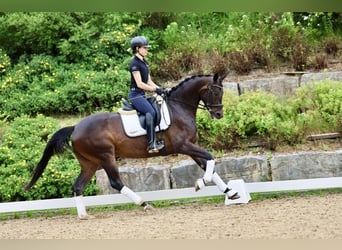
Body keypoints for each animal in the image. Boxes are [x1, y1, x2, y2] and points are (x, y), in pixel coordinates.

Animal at [24, 72, 239, 219]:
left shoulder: (191, 146)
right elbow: (210, 158)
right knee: (116, 182)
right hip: (106, 156)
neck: (179, 108)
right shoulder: (183, 146)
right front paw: (200, 184)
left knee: (78, 186)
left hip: (90, 163)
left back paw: (83, 215)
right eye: (215, 91)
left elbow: (208, 165)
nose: (219, 114)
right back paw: (144, 204)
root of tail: (76, 127)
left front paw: (231, 192)